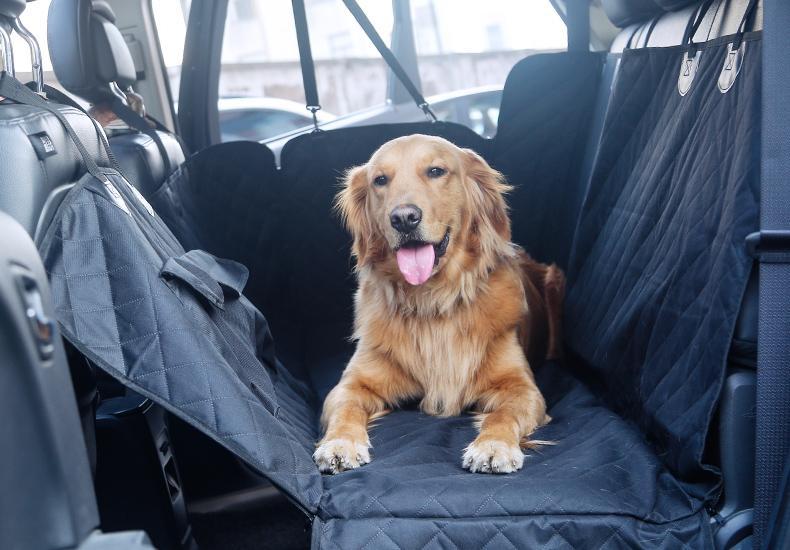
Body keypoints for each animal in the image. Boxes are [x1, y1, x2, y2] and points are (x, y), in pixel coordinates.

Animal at [314, 134, 565, 475]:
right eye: (380, 180)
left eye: (436, 171)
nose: (404, 218)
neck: (433, 300)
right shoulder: (352, 382)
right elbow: (345, 408)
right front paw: (340, 443)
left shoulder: (523, 388)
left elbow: (503, 414)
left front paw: (493, 446)